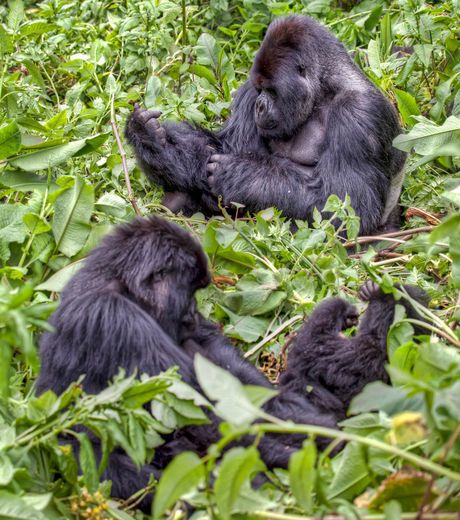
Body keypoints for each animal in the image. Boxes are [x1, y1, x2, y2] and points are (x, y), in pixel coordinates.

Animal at [36, 216, 428, 512]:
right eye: (189, 292)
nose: (191, 315)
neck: (120, 284)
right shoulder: (115, 319)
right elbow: (200, 411)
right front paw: (317, 441)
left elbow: (220, 364)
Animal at [126, 15, 406, 236]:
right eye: (260, 89)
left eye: (271, 91)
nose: (259, 106)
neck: (321, 92)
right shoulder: (248, 90)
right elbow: (220, 148)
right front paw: (151, 138)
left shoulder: (359, 114)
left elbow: (347, 209)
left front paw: (237, 176)